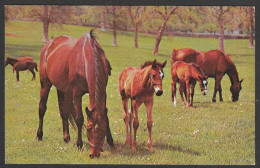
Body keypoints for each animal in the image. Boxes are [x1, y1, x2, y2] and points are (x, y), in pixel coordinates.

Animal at [36, 29, 115, 158]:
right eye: (88, 129)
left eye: (102, 132)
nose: (94, 154)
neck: (85, 57)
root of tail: (49, 45)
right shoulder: (77, 93)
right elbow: (79, 118)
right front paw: (79, 144)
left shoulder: (103, 91)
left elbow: (105, 116)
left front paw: (111, 143)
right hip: (45, 84)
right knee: (42, 108)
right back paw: (39, 135)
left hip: (62, 89)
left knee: (63, 112)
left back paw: (66, 138)